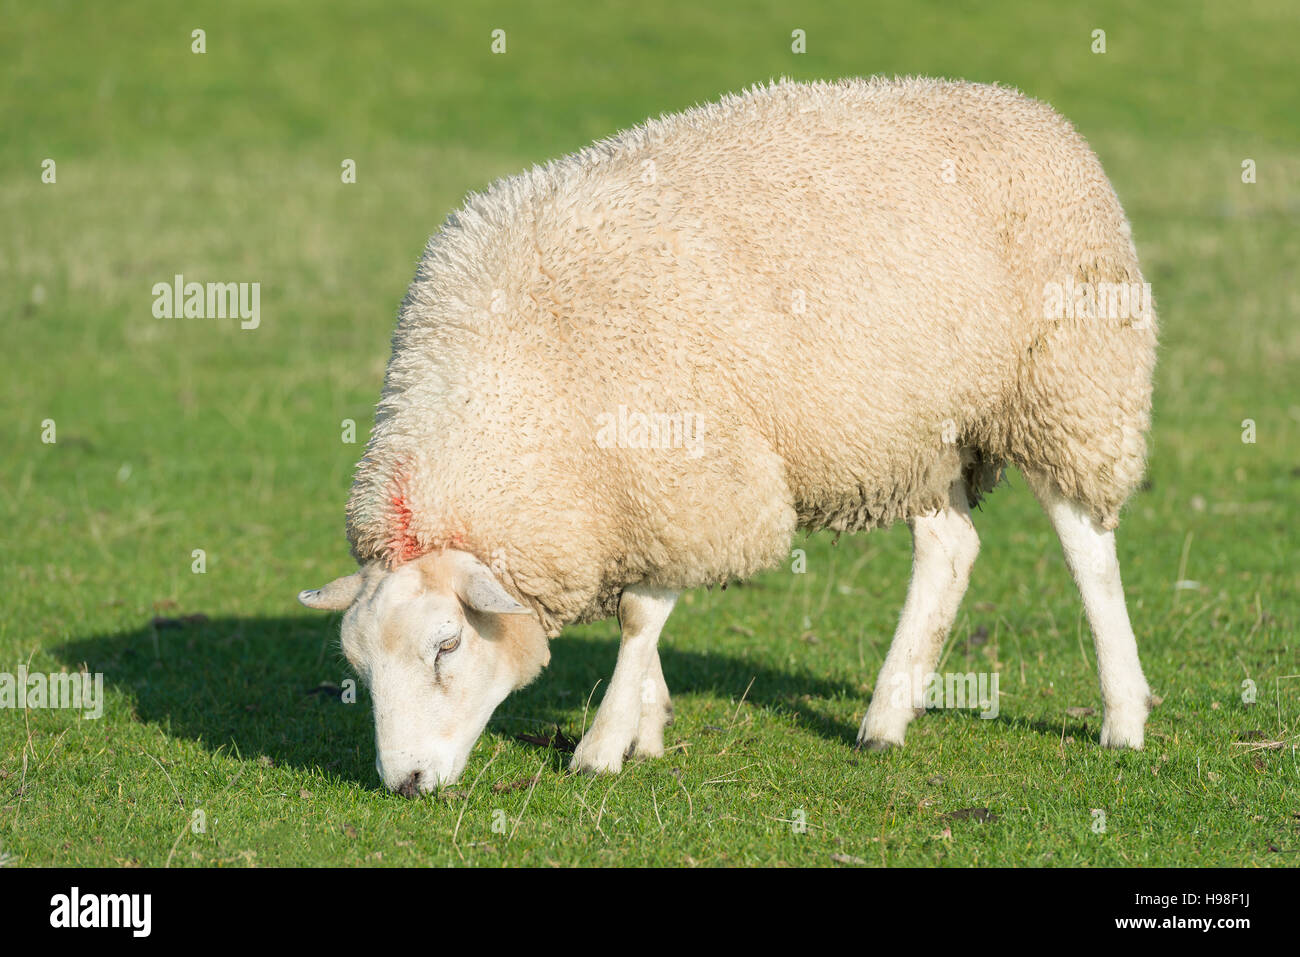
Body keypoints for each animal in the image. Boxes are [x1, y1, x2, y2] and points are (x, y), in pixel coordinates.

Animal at [299, 76, 1157, 796]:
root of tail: (1029, 107)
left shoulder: (689, 472)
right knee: (949, 549)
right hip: (918, 429)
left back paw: (1122, 716)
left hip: (1069, 383)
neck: (516, 388)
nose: (404, 782)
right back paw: (885, 718)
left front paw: (603, 745)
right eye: (358, 668)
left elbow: (641, 615)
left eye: (446, 645)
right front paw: (647, 725)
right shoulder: (631, 498)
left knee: (1087, 548)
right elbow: (639, 611)